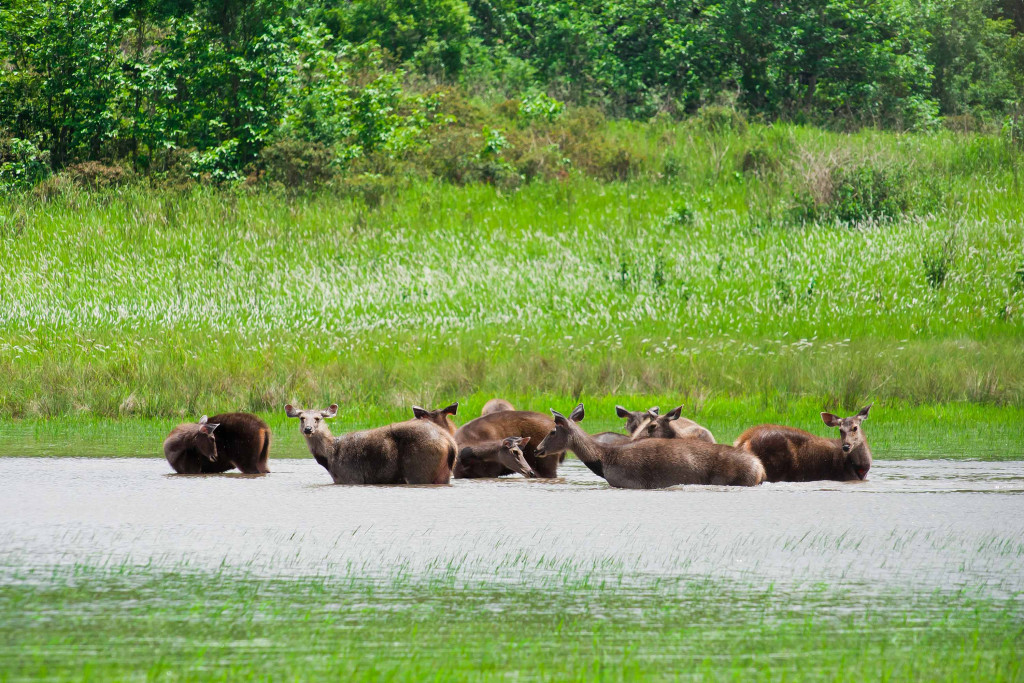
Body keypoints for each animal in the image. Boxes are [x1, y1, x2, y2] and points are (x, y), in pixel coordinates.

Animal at [282, 405, 454, 485]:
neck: (330, 456)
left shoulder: (351, 476)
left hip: (419, 470)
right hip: (442, 474)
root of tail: (450, 442)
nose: (308, 429)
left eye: (318, 418)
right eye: (302, 418)